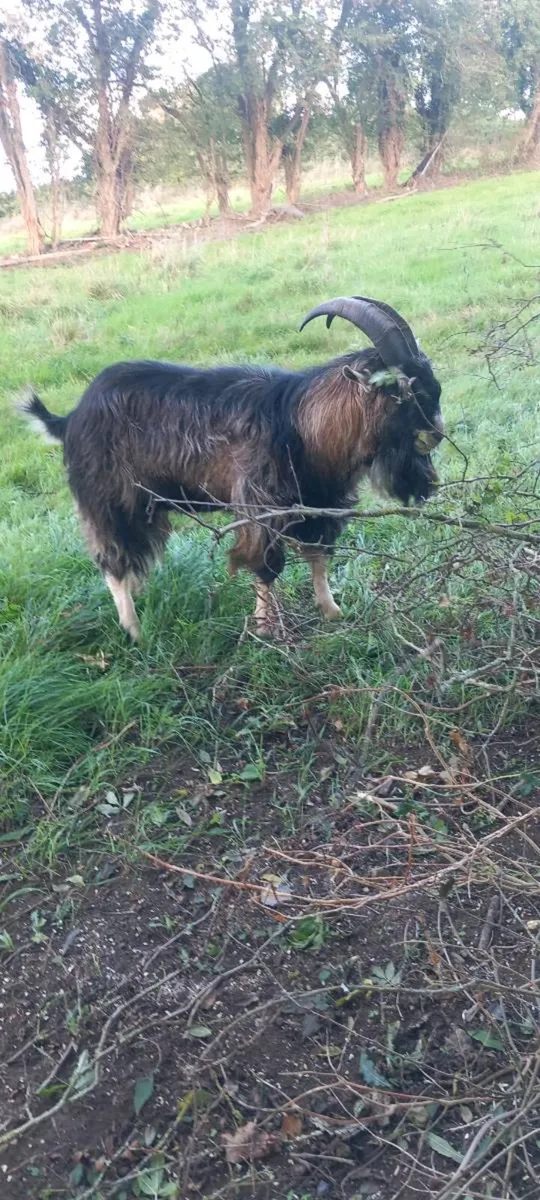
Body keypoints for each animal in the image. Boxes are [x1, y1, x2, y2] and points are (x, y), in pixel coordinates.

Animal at [21, 296, 443, 641]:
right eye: (404, 391)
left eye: (433, 385)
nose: (437, 434)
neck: (299, 424)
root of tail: (69, 419)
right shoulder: (260, 507)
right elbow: (266, 566)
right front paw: (265, 627)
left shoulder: (319, 504)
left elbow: (318, 558)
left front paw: (332, 612)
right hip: (110, 499)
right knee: (112, 559)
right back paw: (134, 629)